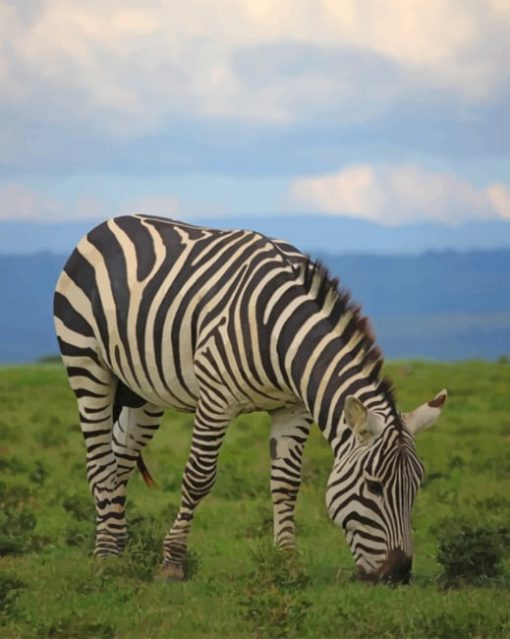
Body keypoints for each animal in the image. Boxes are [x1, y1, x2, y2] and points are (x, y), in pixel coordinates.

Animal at [53, 215, 446, 584]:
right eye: (374, 486)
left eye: (416, 487)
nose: (399, 574)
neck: (282, 336)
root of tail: (110, 222)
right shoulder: (216, 399)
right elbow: (198, 478)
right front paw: (172, 563)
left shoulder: (293, 407)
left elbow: (287, 482)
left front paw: (287, 561)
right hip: (87, 365)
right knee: (99, 462)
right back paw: (106, 556)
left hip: (143, 392)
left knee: (119, 457)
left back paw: (116, 544)